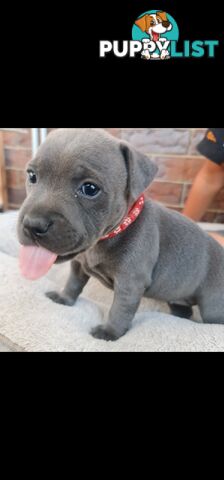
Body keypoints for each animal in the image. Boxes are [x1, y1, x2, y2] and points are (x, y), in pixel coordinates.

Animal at [18, 129, 224, 340]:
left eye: (90, 189)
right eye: (32, 176)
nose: (33, 224)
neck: (107, 237)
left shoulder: (129, 284)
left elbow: (119, 310)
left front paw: (109, 332)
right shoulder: (78, 265)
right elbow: (73, 283)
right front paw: (64, 298)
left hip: (214, 305)